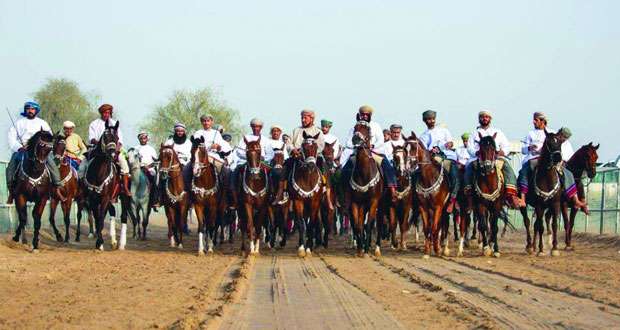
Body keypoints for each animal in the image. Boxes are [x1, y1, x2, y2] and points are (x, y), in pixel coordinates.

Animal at [344, 122, 382, 256]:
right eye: (355, 128)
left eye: (367, 129)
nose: (356, 139)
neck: (364, 175)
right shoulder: (355, 202)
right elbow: (357, 224)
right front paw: (360, 248)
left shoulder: (374, 201)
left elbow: (369, 224)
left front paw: (365, 249)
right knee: (360, 223)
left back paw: (376, 248)